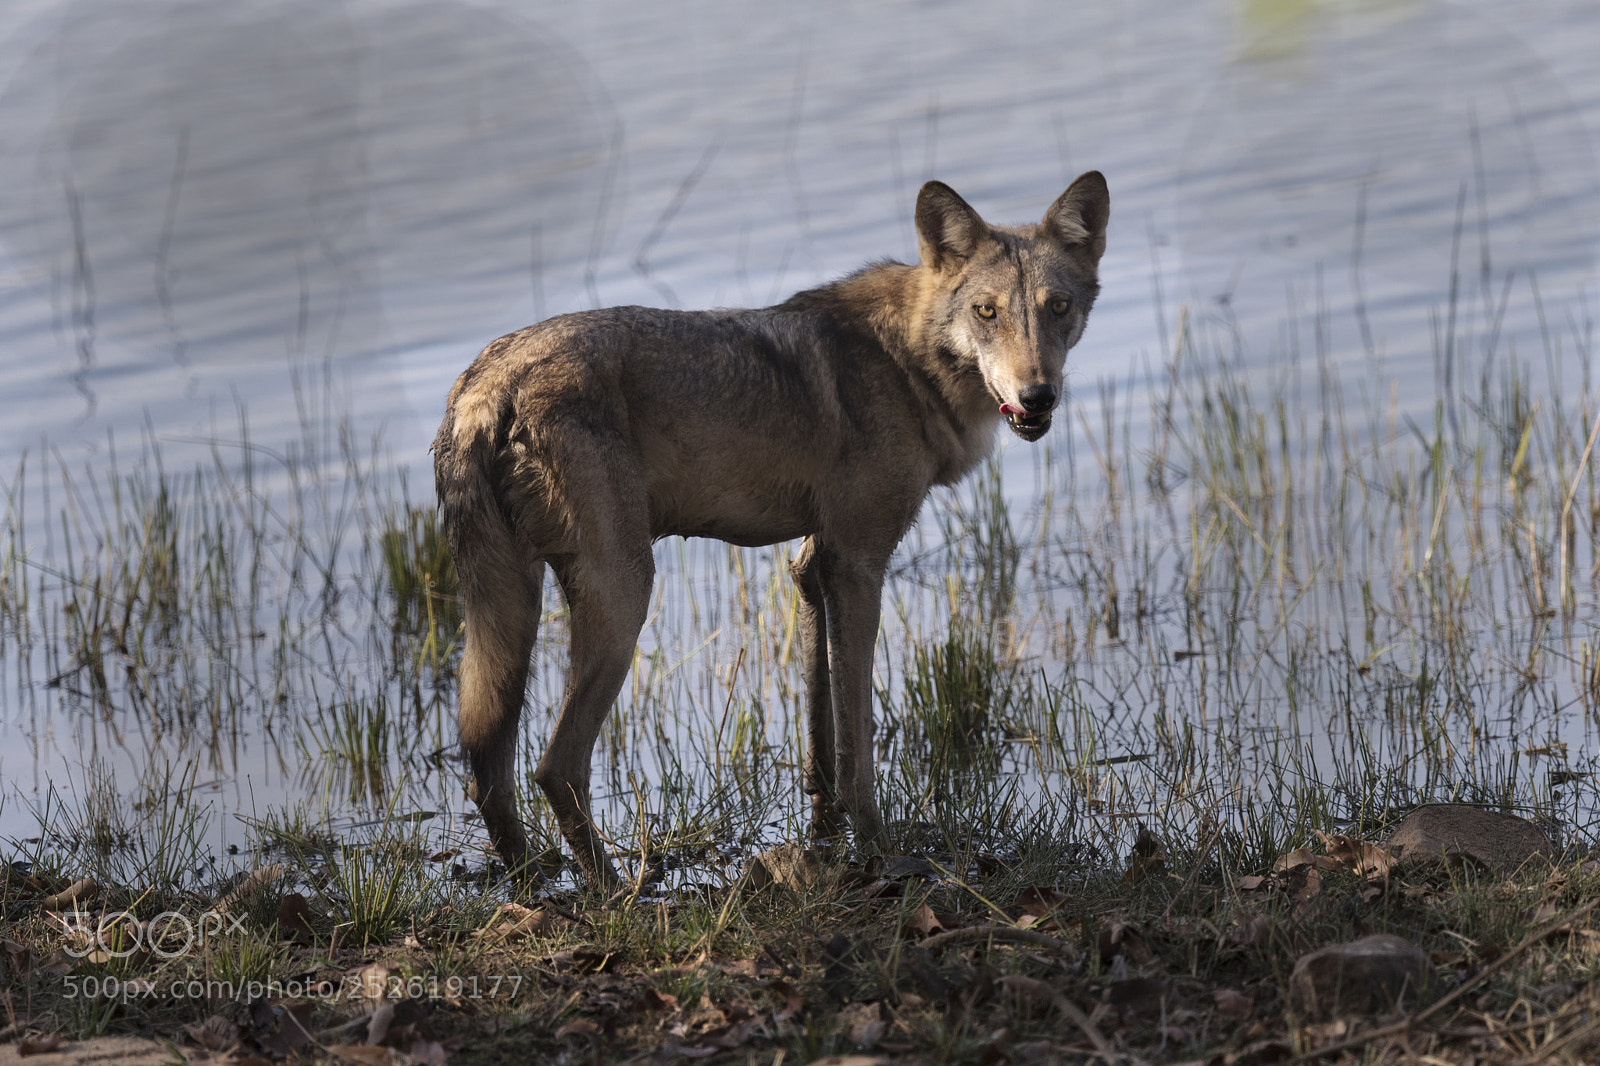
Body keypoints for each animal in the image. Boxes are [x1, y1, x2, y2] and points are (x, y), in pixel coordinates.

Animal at [433, 173, 1109, 890]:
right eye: (987, 312)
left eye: (1058, 307)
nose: (1038, 397)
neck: (906, 362)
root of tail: (485, 385)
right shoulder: (859, 565)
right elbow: (858, 731)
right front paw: (877, 846)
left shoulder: (813, 564)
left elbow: (821, 725)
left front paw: (825, 827)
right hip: (622, 599)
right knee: (554, 764)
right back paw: (616, 894)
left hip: (514, 618)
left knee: (488, 763)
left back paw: (532, 883)